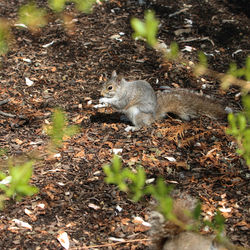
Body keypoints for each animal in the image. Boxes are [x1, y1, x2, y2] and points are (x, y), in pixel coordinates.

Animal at [94, 70, 230, 132]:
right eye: (104, 83)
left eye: (110, 87)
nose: (100, 93)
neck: (123, 88)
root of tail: (153, 116)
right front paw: (100, 103)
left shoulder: (126, 97)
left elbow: (118, 103)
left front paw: (104, 99)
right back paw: (124, 118)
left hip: (136, 112)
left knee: (142, 125)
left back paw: (132, 128)